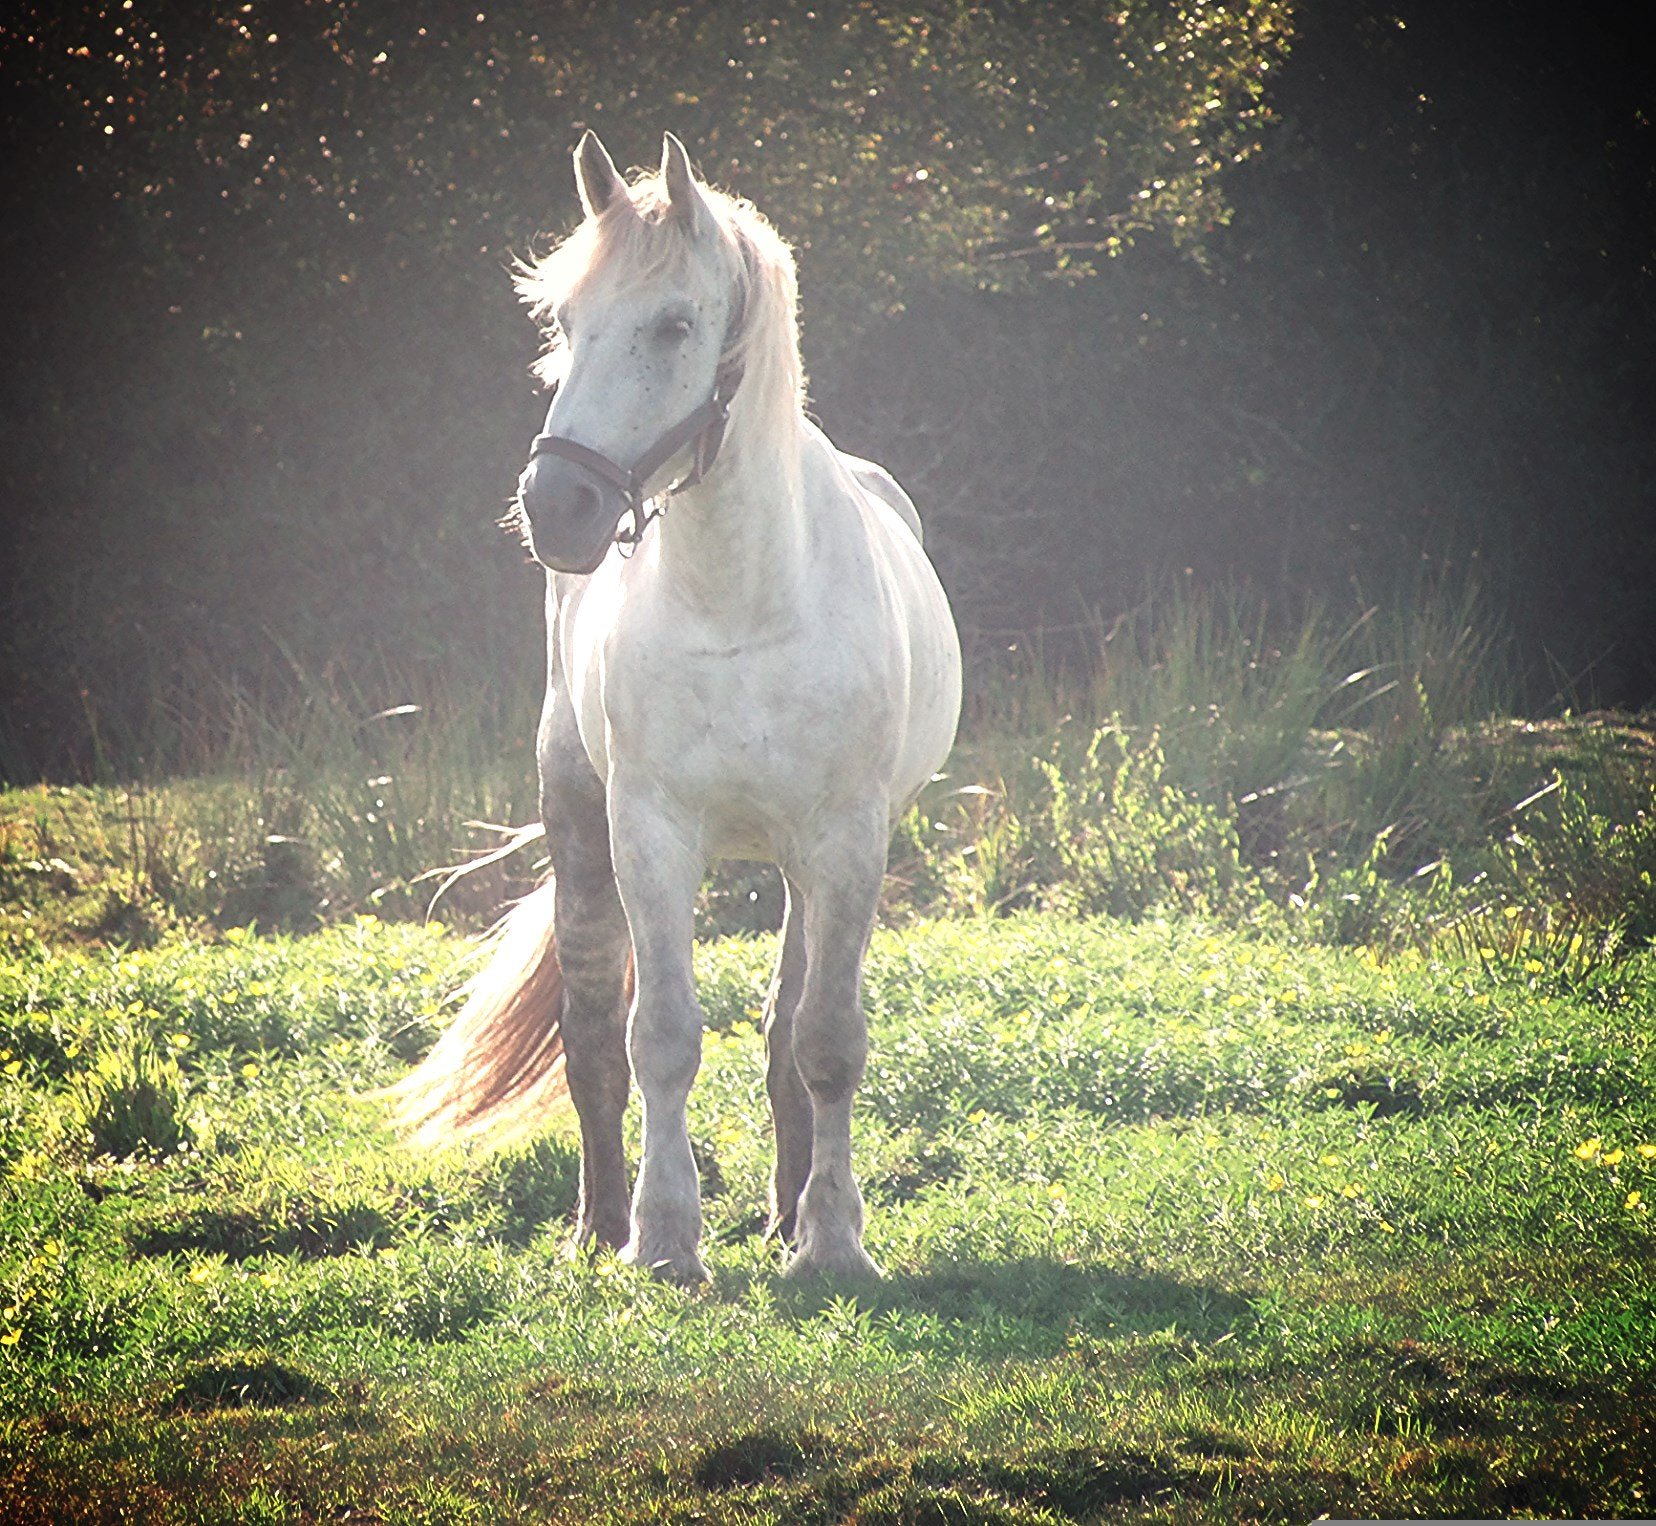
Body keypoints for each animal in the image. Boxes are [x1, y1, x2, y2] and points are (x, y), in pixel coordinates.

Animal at [385, 130, 960, 1279]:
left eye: (675, 324)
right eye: (566, 323)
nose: (557, 504)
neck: (742, 601)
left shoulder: (846, 841)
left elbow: (825, 1040)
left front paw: (832, 1242)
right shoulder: (648, 833)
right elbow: (657, 1036)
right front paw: (661, 1241)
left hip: (801, 868)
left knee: (786, 1030)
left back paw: (785, 1215)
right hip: (578, 822)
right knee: (592, 1031)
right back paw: (599, 1221)